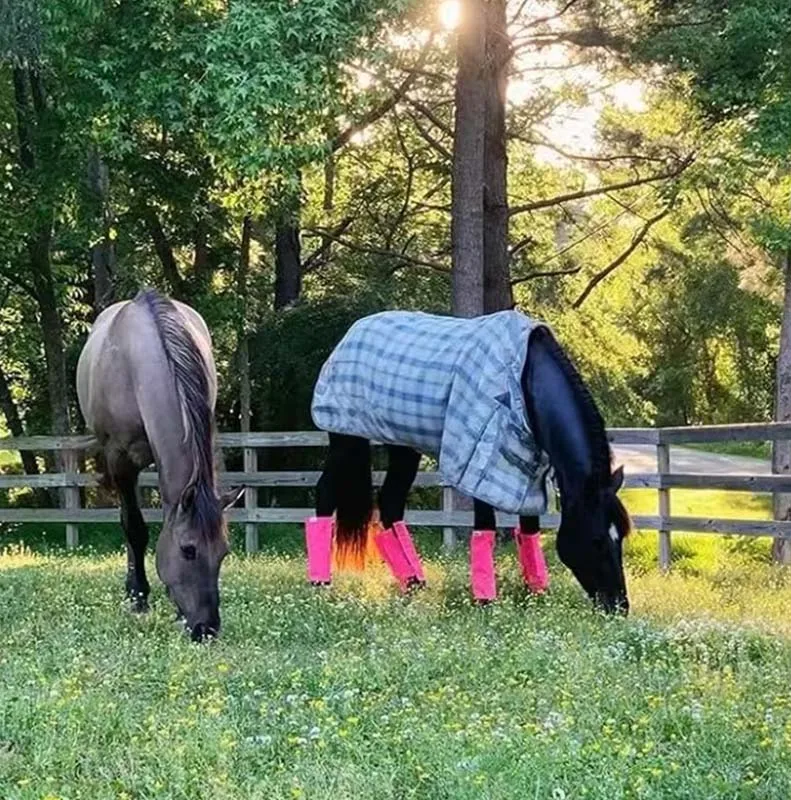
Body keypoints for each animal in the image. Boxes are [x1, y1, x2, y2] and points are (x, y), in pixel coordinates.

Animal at [80, 290, 243, 640]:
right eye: (188, 550)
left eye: (224, 552)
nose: (206, 628)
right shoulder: (120, 460)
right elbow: (134, 528)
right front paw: (139, 597)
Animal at [304, 310, 632, 612]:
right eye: (597, 540)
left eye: (622, 538)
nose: (618, 605)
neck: (524, 379)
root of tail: (350, 335)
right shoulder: (481, 462)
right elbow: (485, 528)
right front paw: (486, 599)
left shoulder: (526, 470)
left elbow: (529, 530)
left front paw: (536, 593)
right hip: (346, 438)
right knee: (326, 493)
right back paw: (320, 583)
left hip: (403, 445)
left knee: (390, 504)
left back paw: (414, 582)